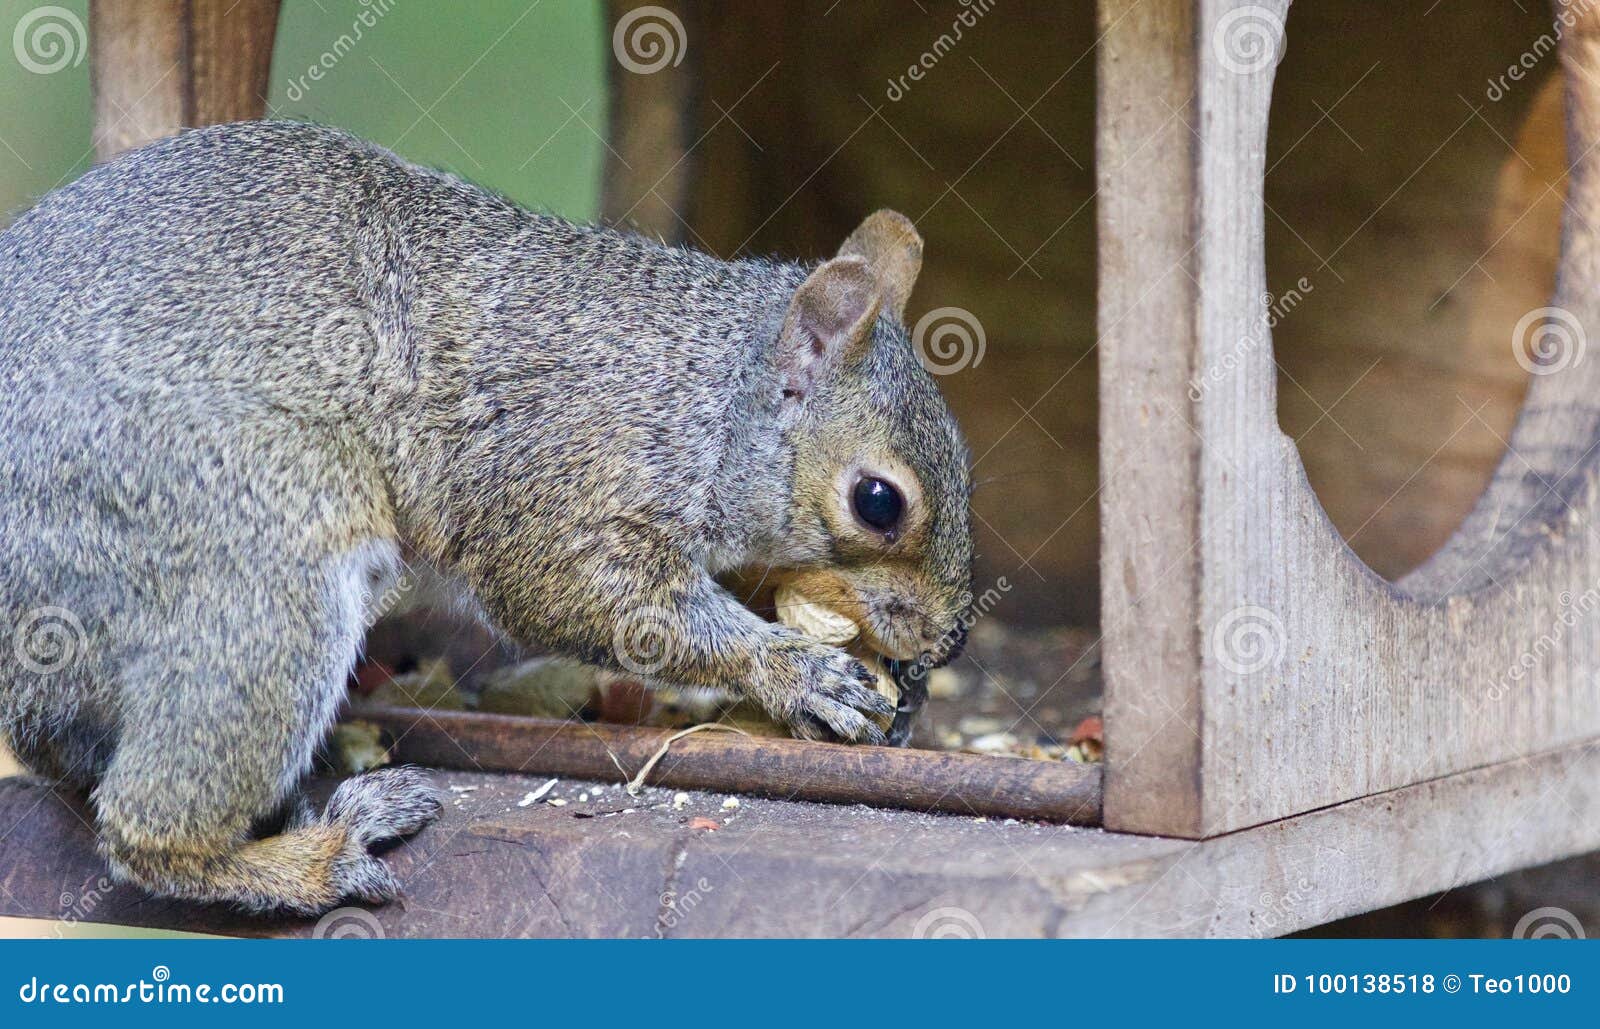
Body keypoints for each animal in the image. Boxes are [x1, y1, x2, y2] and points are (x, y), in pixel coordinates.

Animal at [0, 121, 974, 915]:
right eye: (878, 502)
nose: (953, 637)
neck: (701, 395)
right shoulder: (565, 475)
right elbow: (587, 597)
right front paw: (796, 672)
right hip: (256, 551)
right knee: (147, 828)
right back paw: (318, 856)